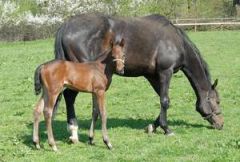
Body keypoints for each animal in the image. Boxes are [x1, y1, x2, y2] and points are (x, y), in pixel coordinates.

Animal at [54, 13, 223, 143]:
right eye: (217, 102)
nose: (221, 124)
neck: (176, 42)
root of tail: (66, 25)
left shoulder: (152, 76)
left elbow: (163, 99)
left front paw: (152, 127)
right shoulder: (165, 72)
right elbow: (165, 101)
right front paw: (167, 129)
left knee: (68, 96)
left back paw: (73, 132)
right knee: (70, 96)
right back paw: (74, 131)